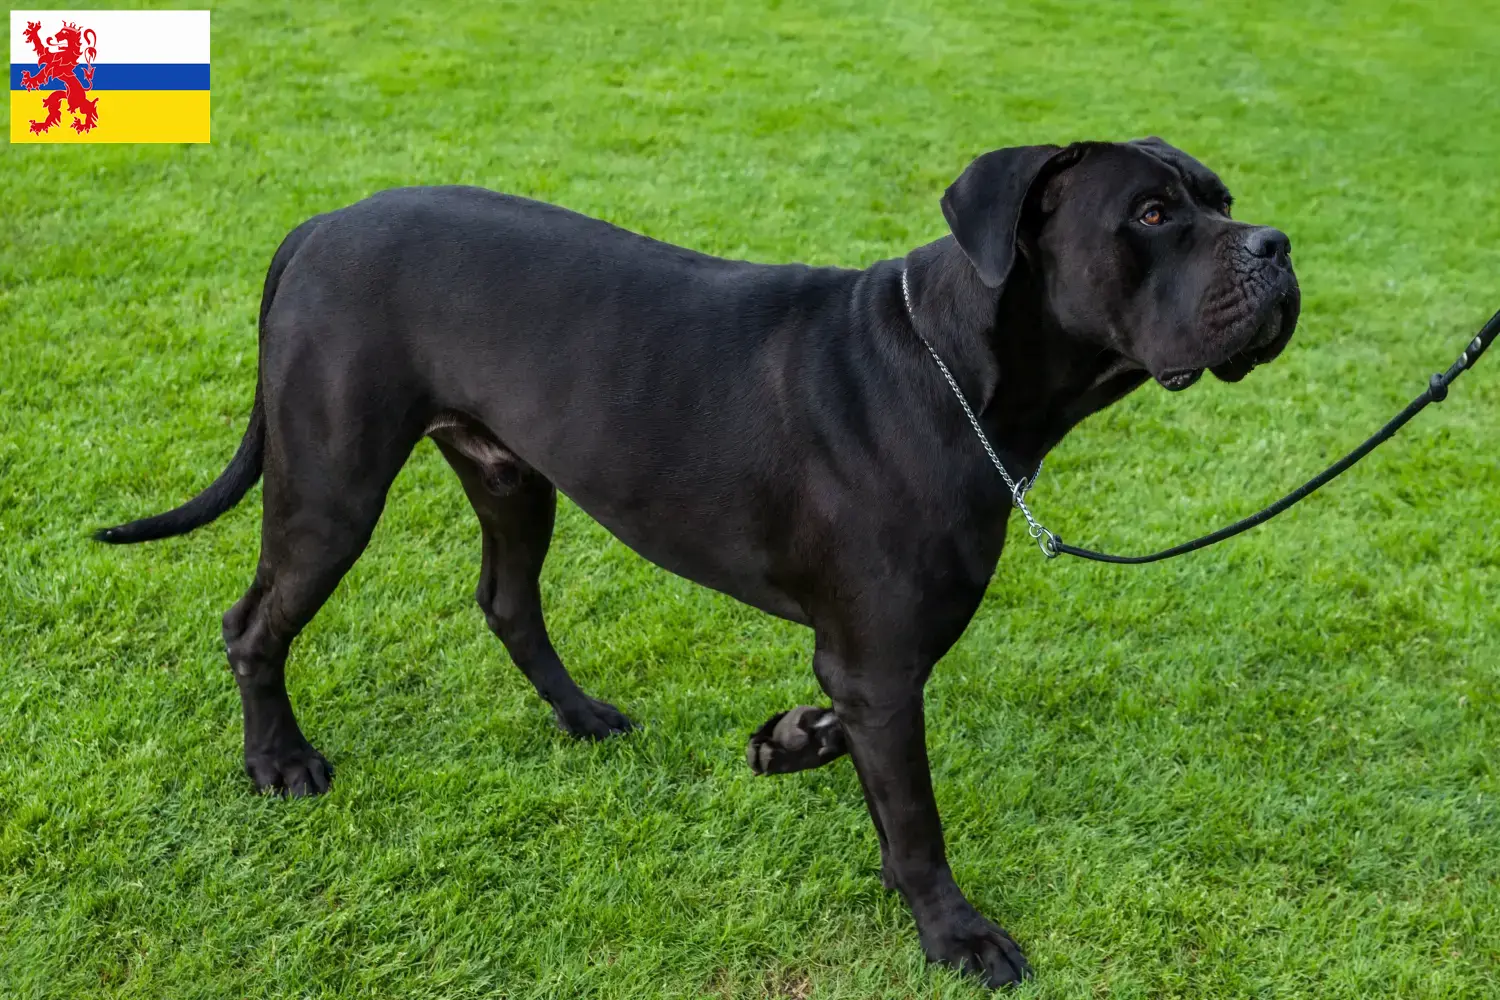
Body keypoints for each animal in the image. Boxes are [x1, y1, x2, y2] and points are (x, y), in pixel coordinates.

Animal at [93, 138, 1296, 983]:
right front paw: (956, 934)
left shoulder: (871, 661)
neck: (960, 370)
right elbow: (915, 815)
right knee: (254, 622)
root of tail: (321, 222)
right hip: (332, 488)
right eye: (1152, 214)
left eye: (1222, 197)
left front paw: (794, 739)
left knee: (507, 600)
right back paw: (278, 761)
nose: (1275, 244)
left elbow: (860, 754)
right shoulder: (882, 663)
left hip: (511, 474)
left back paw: (581, 714)